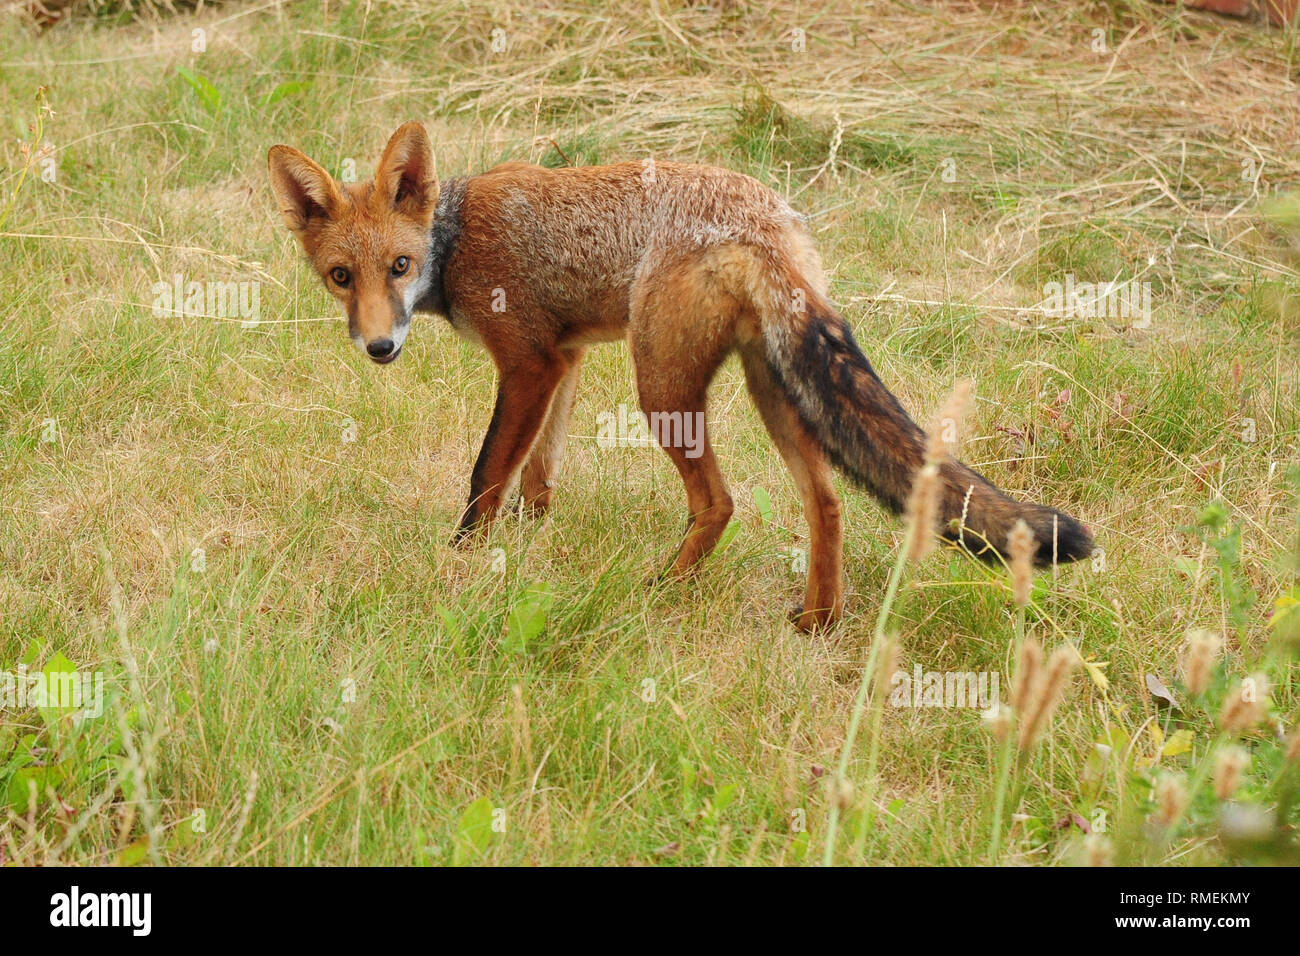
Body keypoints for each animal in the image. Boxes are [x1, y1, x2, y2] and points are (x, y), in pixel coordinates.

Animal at [268, 122, 1092, 630]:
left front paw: (461, 563)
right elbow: (539, 471)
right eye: (341, 277)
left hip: (662, 392)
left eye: (399, 267)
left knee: (720, 503)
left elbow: (485, 477)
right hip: (771, 388)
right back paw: (819, 620)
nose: (379, 348)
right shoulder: (564, 361)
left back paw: (664, 589)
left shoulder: (529, 363)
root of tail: (769, 218)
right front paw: (532, 539)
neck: (458, 235)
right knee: (826, 503)